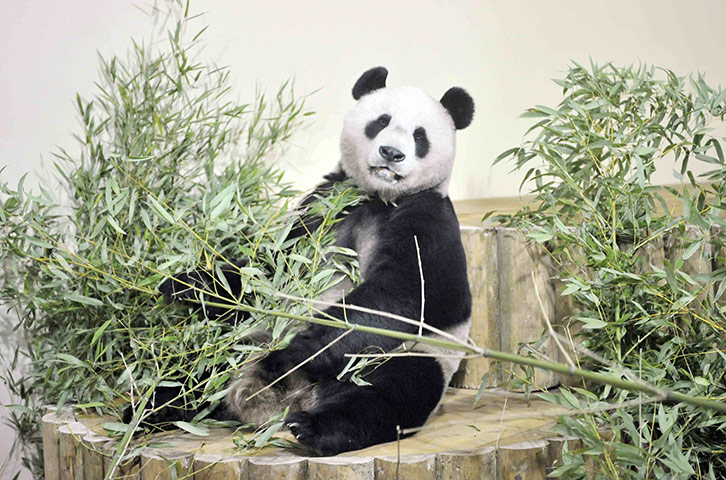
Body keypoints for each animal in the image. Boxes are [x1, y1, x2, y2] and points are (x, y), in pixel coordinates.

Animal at [141, 66, 475, 456]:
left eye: (420, 136)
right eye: (381, 121)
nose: (391, 153)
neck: (376, 197)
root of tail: (283, 403)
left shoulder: (428, 219)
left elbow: (408, 293)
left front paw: (296, 350)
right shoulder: (321, 206)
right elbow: (266, 271)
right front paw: (188, 285)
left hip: (404, 358)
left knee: (387, 393)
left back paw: (314, 427)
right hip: (239, 345)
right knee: (192, 372)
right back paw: (150, 408)